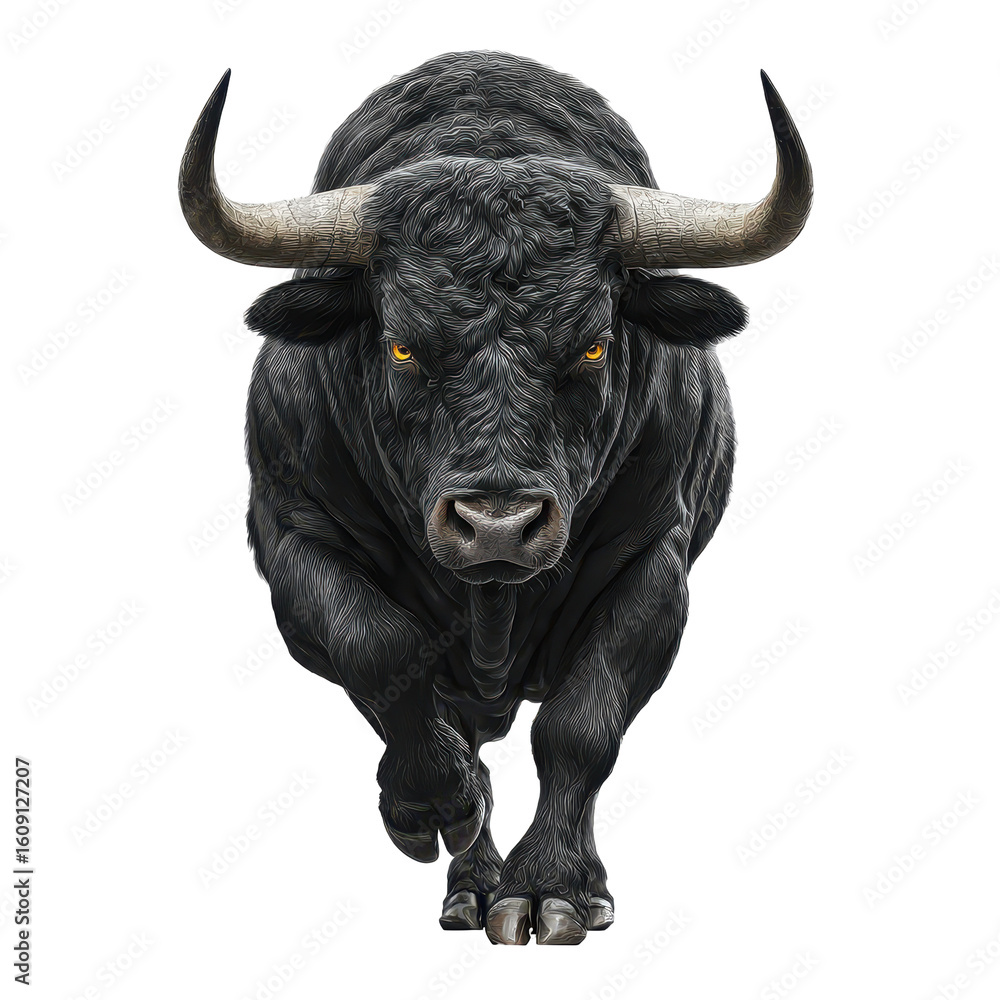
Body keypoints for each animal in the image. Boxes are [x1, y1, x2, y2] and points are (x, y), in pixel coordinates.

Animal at [179, 50, 811, 945]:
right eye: (402, 344)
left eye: (595, 344)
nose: (498, 528)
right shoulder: (292, 538)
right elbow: (380, 651)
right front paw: (428, 803)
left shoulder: (655, 564)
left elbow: (579, 728)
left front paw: (552, 890)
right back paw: (467, 879)